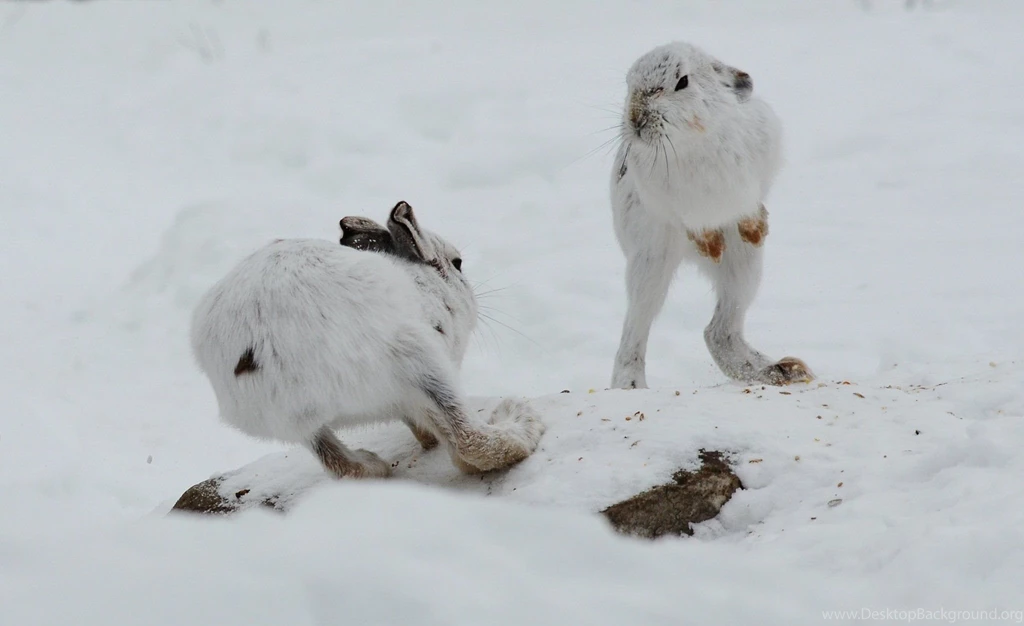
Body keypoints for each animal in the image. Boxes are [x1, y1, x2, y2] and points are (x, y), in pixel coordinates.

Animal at [190, 201, 544, 479]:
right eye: (457, 264)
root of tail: (261, 355)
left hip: (297, 423)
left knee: (339, 464)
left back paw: (373, 464)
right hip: (421, 361)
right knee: (470, 443)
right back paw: (519, 419)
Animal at [608, 41, 814, 390]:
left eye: (682, 82)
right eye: (628, 84)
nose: (636, 119)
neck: (693, 140)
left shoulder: (756, 174)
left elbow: (752, 205)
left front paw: (756, 227)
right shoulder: (670, 205)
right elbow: (691, 223)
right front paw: (710, 243)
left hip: (745, 266)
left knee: (719, 331)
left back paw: (780, 371)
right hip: (651, 262)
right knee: (638, 329)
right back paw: (631, 386)